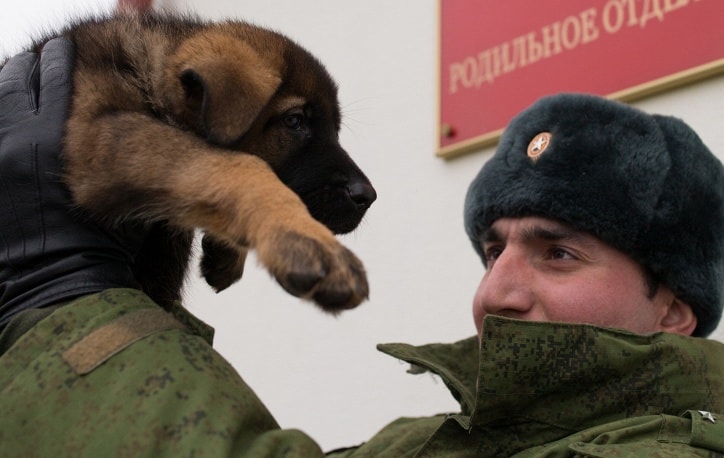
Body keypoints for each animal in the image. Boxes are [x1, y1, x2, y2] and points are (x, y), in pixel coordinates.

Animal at [28, 14, 376, 314]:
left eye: (335, 130)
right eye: (294, 121)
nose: (368, 197)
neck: (148, 76)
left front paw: (228, 252)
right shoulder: (99, 137)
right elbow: (234, 164)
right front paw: (306, 241)